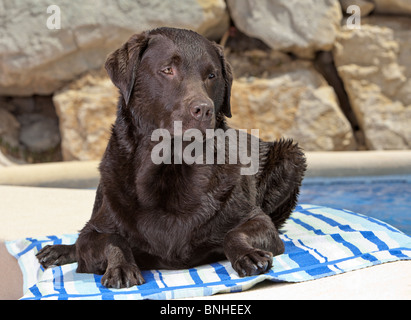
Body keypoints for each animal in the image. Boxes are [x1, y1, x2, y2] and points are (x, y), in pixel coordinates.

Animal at [37, 26, 306, 288]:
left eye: (212, 75)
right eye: (168, 70)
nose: (204, 109)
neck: (171, 167)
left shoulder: (258, 220)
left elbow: (234, 233)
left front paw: (247, 255)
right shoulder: (94, 234)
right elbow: (111, 239)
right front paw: (121, 267)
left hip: (291, 156)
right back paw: (58, 251)